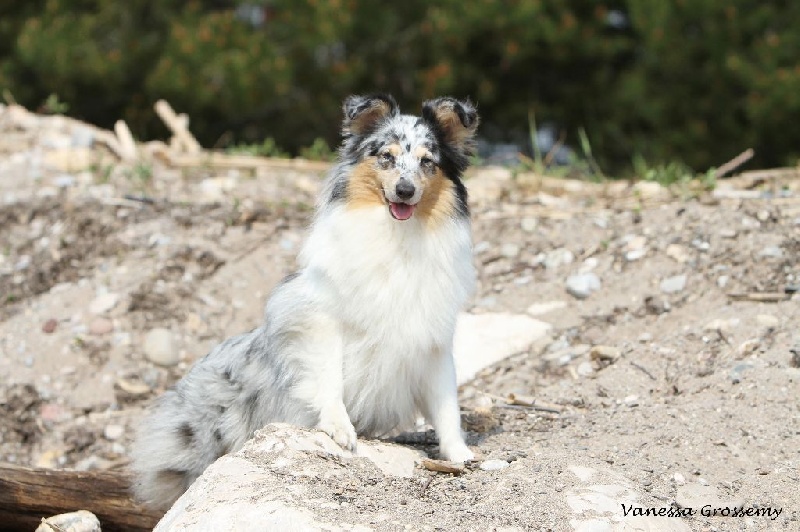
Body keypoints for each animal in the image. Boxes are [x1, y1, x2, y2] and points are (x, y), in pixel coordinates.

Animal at [131, 94, 480, 510]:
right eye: (386, 157)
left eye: (428, 161)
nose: (405, 190)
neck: (398, 237)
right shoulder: (316, 320)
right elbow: (328, 378)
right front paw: (339, 429)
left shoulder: (433, 342)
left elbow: (446, 407)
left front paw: (459, 454)